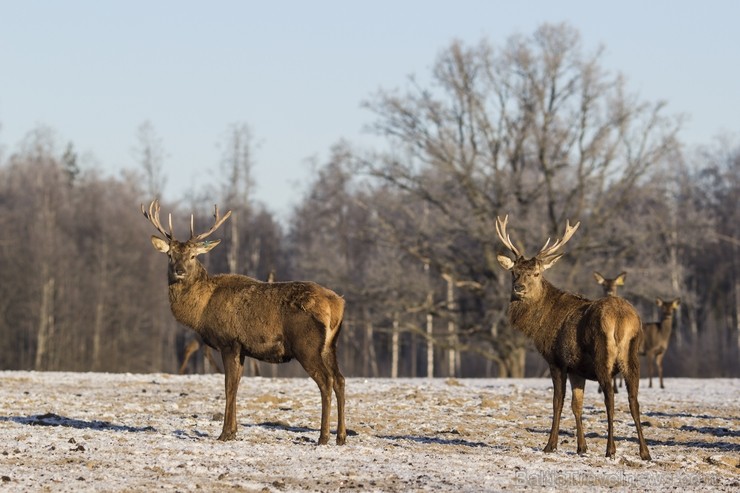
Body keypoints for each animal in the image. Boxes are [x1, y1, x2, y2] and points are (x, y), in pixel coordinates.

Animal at [142, 200, 346, 446]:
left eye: (192, 256)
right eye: (170, 255)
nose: (179, 271)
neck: (201, 310)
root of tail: (337, 303)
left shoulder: (229, 342)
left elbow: (229, 387)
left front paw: (224, 433)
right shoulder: (242, 349)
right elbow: (237, 386)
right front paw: (233, 431)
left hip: (307, 345)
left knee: (326, 381)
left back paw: (323, 436)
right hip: (330, 345)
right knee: (340, 380)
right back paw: (341, 436)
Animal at [498, 217, 648, 460]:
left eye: (536, 273)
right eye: (514, 272)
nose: (518, 288)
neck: (540, 324)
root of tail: (621, 317)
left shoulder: (556, 361)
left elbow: (557, 402)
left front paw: (550, 445)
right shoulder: (577, 369)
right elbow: (576, 405)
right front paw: (581, 447)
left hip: (603, 356)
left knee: (610, 398)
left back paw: (610, 449)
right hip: (633, 356)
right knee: (634, 400)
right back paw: (645, 452)